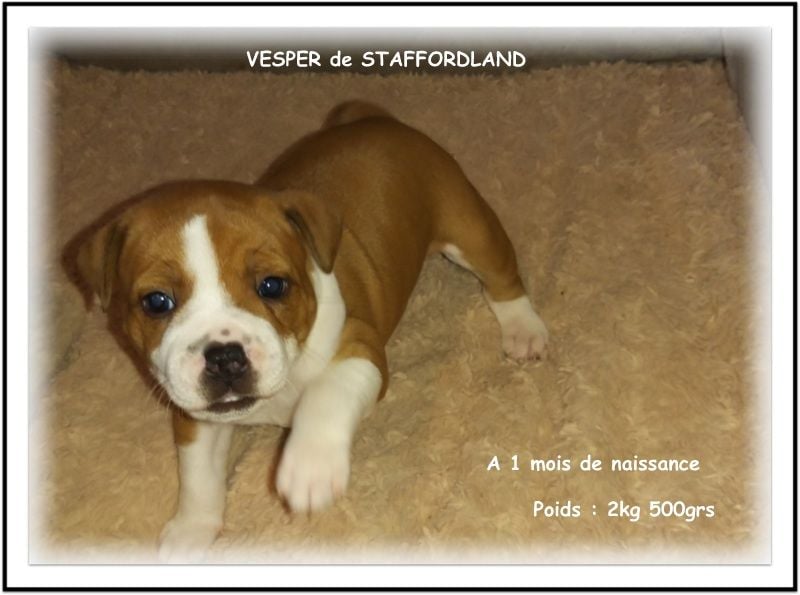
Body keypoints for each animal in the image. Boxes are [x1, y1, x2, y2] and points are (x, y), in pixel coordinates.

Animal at [70, 101, 549, 561]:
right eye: (157, 303)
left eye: (272, 286)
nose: (225, 356)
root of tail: (375, 119)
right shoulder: (195, 415)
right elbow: (198, 474)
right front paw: (191, 529)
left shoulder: (361, 349)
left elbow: (328, 393)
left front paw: (310, 465)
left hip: (468, 227)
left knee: (501, 277)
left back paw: (523, 329)